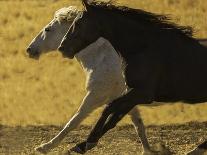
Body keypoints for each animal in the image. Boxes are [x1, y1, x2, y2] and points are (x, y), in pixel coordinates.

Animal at [26, 5, 163, 154]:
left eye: (47, 29)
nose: (29, 49)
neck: (102, 59)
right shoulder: (123, 98)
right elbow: (137, 124)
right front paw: (147, 150)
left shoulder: (95, 96)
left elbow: (73, 121)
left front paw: (45, 147)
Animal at [57, 0, 207, 154]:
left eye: (78, 23)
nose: (62, 47)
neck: (143, 48)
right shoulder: (132, 93)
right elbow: (115, 119)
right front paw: (81, 145)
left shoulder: (143, 94)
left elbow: (109, 108)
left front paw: (89, 141)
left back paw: (195, 150)